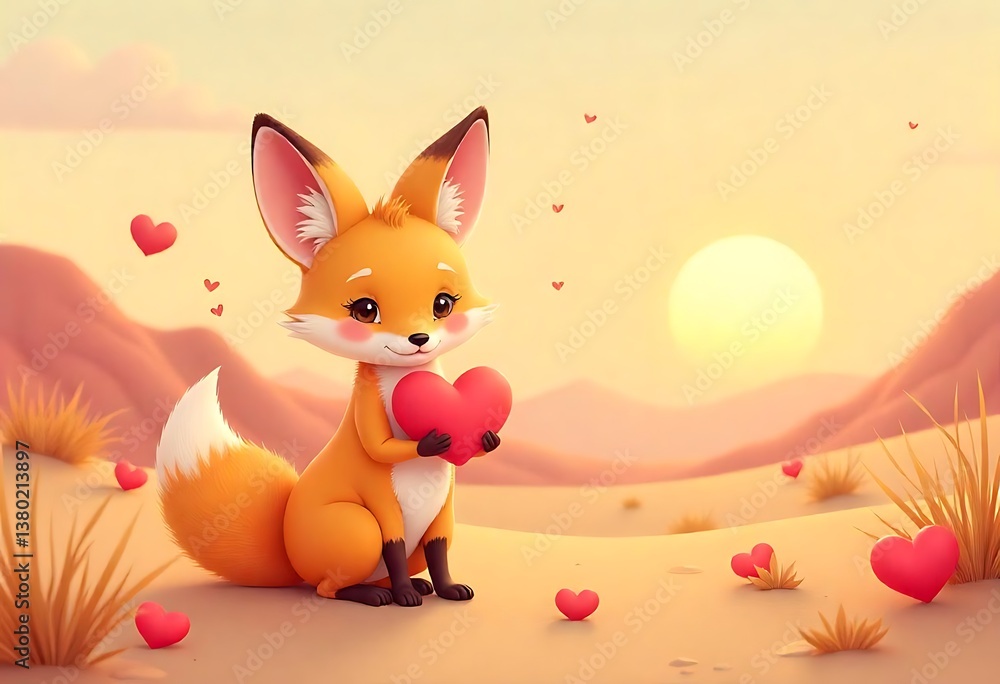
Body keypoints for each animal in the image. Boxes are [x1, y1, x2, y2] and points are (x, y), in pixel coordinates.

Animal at [155, 107, 500, 607]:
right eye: (365, 310)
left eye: (443, 304)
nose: (418, 338)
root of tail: (289, 555)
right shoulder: (379, 493)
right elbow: (382, 470)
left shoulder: (444, 514)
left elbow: (440, 552)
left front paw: (448, 588)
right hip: (356, 528)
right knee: (329, 587)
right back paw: (378, 594)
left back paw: (411, 585)